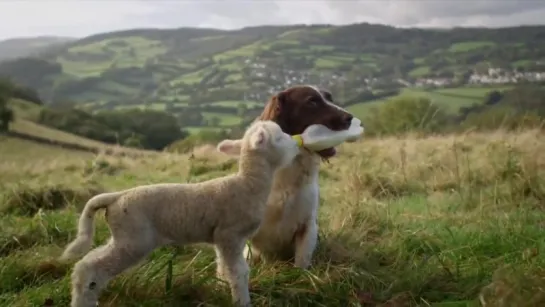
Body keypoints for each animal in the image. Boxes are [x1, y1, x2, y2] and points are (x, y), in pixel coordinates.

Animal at [59, 120, 302, 307]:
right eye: (280, 137)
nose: (297, 144)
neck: (248, 184)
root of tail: (117, 196)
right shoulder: (230, 234)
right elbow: (239, 273)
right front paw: (242, 301)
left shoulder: (221, 239)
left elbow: (223, 268)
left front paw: (220, 290)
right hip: (134, 238)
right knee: (90, 266)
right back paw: (82, 301)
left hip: (122, 235)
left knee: (87, 262)